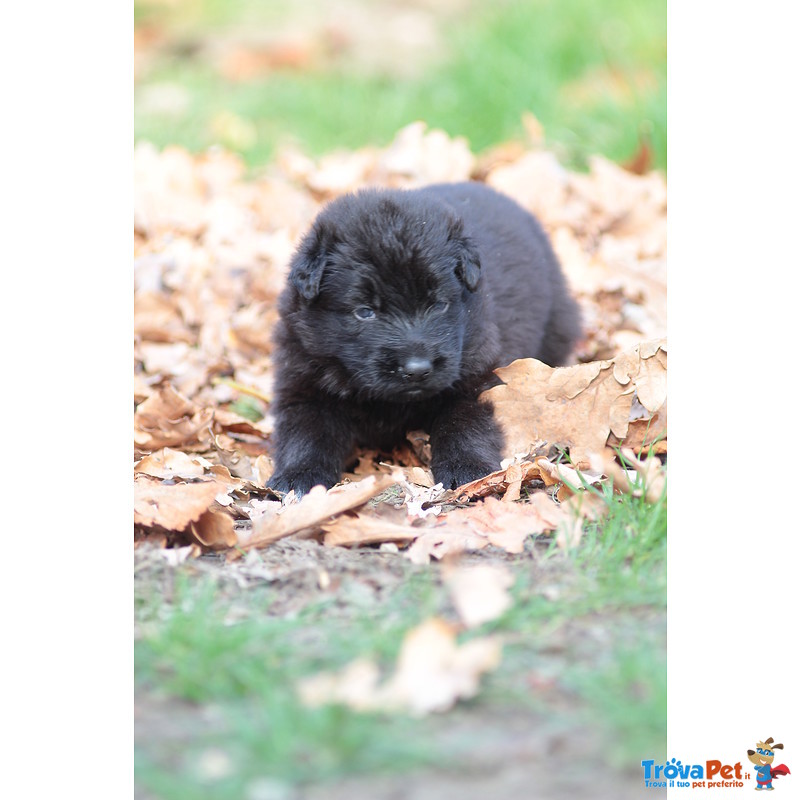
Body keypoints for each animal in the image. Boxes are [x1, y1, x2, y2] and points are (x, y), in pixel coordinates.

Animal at [268, 183, 580, 494]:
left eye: (439, 304)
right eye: (365, 311)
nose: (417, 369)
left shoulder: (476, 374)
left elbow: (464, 422)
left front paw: (467, 468)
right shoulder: (304, 380)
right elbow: (306, 432)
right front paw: (298, 475)